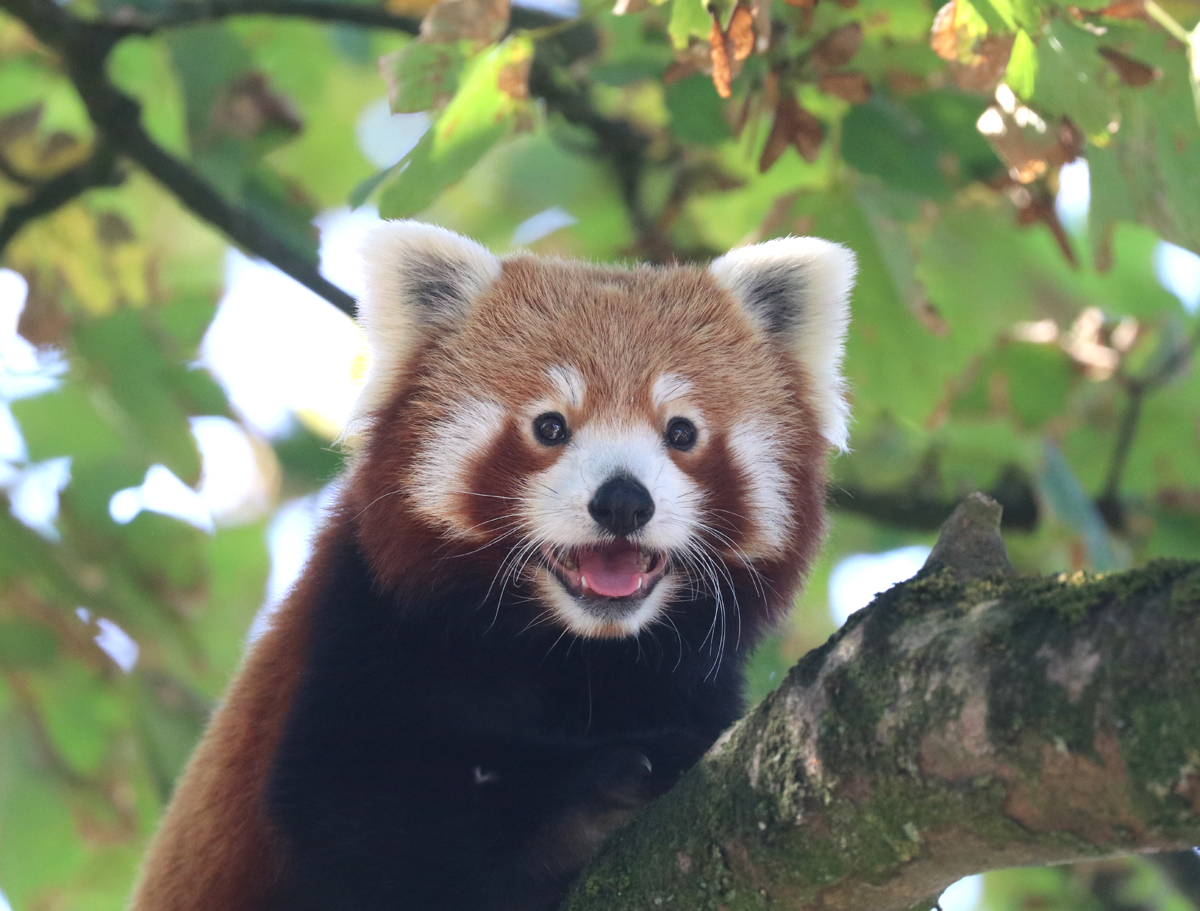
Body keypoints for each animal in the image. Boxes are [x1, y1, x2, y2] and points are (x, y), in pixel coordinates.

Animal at [127, 222, 856, 911]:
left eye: (681, 433)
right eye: (550, 427)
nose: (623, 501)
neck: (575, 651)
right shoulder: (358, 621)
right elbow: (362, 799)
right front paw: (593, 796)